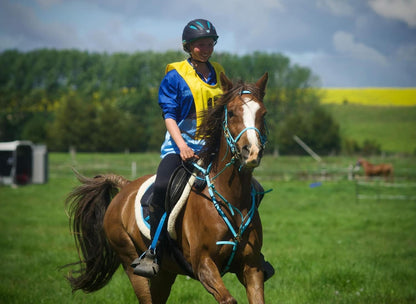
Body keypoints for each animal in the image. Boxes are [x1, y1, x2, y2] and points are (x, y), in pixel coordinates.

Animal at [61, 72, 270, 302]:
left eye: (263, 113)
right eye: (231, 113)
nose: (251, 152)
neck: (232, 199)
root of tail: (124, 189)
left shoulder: (251, 267)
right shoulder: (203, 265)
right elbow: (228, 299)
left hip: (165, 273)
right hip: (131, 263)